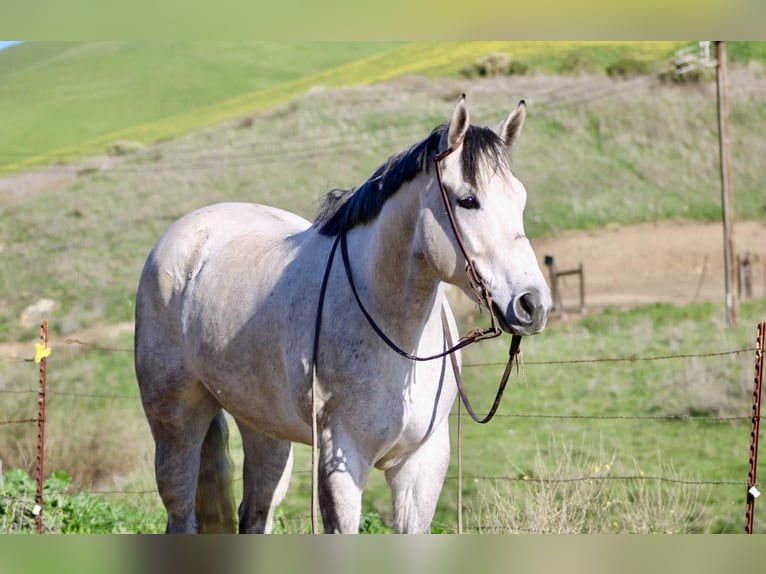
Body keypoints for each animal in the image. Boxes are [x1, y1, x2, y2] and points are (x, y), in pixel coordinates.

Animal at [134, 95, 552, 534]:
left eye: (519, 199)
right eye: (468, 200)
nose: (532, 303)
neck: (396, 337)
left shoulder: (420, 465)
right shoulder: (343, 459)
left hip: (264, 427)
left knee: (256, 513)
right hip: (175, 424)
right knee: (182, 513)